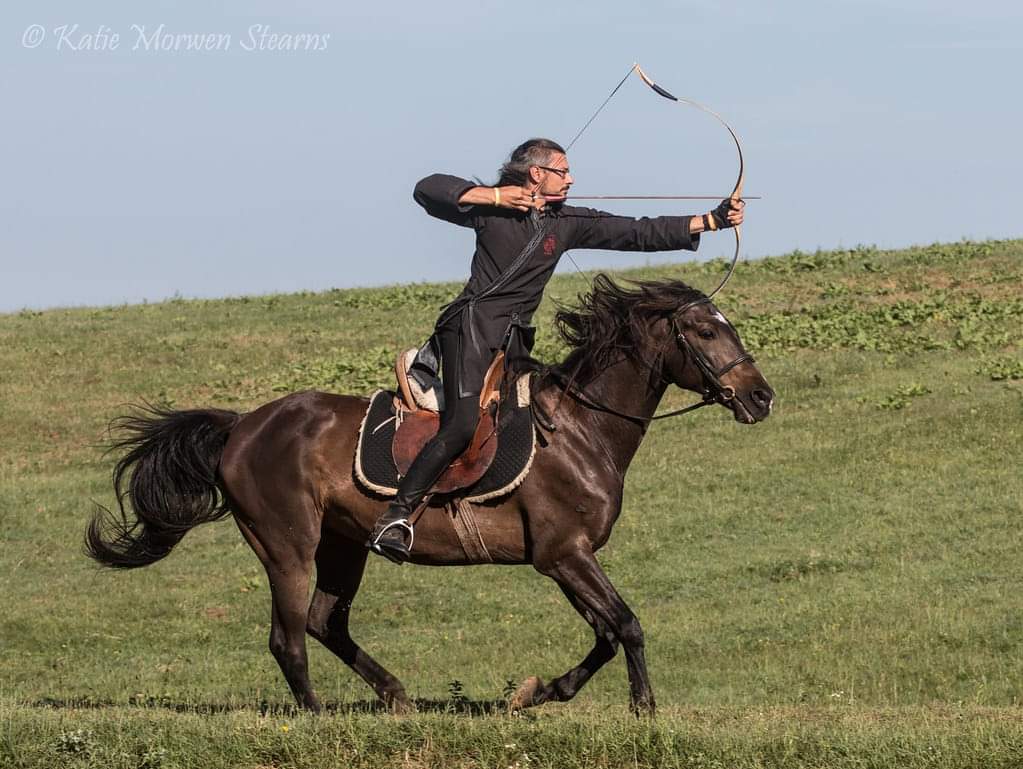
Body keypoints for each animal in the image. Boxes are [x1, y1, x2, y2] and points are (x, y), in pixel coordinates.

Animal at [85, 276, 773, 715]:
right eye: (706, 332)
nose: (761, 398)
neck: (581, 429)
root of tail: (241, 426)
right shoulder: (563, 554)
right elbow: (626, 624)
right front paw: (643, 706)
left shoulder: (564, 560)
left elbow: (605, 633)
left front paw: (537, 693)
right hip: (287, 545)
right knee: (289, 636)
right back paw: (313, 716)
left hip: (343, 544)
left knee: (324, 621)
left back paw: (396, 696)